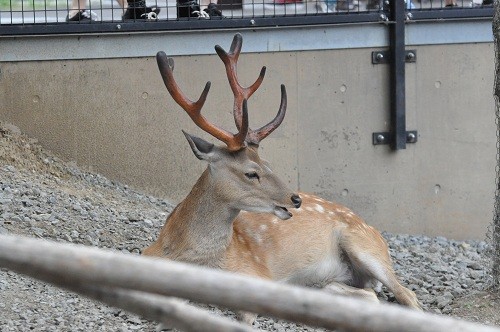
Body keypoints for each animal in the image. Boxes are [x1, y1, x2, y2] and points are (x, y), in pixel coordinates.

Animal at [142, 33, 422, 322]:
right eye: (251, 172)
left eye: (268, 163)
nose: (295, 199)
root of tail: (373, 229)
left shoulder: (255, 275)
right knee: (366, 294)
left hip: (364, 244)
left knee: (405, 294)